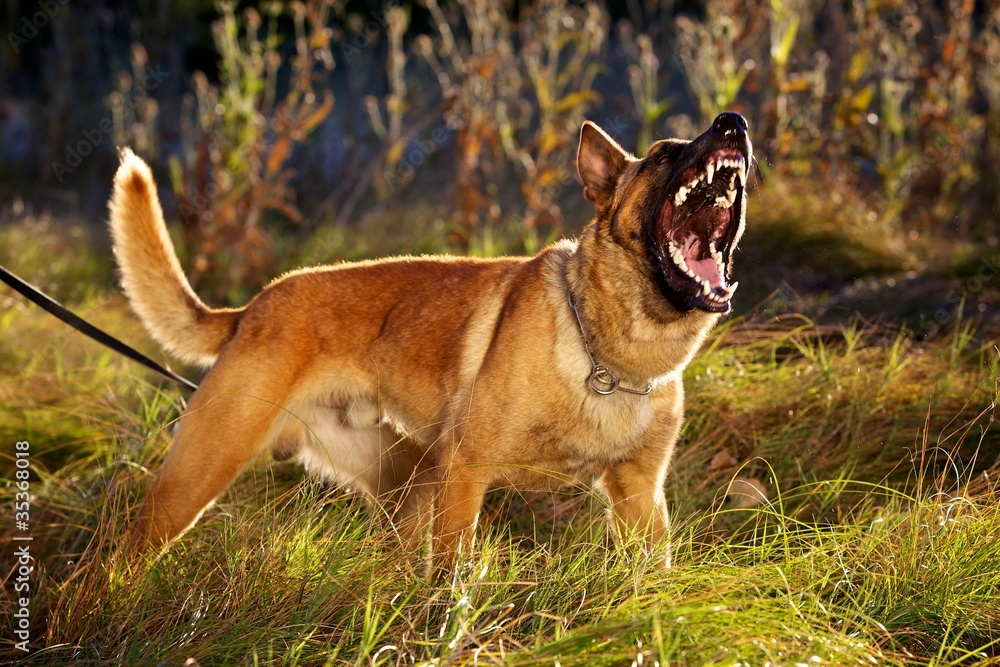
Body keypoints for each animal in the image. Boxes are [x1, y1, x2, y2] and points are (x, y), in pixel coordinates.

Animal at [109, 112, 752, 572]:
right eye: (665, 153)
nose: (734, 121)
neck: (611, 357)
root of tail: (251, 308)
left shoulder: (641, 496)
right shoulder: (467, 474)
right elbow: (454, 578)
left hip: (409, 489)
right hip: (194, 480)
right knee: (116, 557)